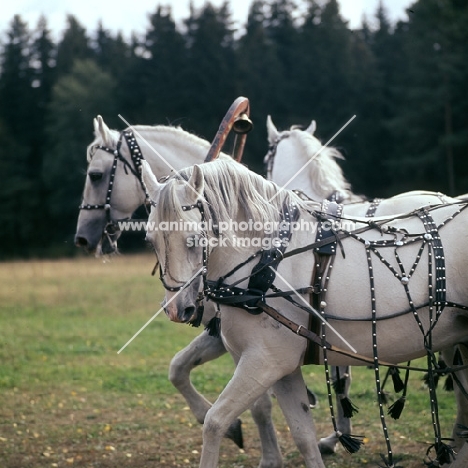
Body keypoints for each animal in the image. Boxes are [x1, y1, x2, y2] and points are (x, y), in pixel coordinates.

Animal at [141, 158, 468, 468]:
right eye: (150, 240)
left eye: (194, 239)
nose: (177, 308)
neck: (265, 261)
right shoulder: (280, 367)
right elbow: (303, 436)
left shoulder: (265, 361)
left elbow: (215, 421)